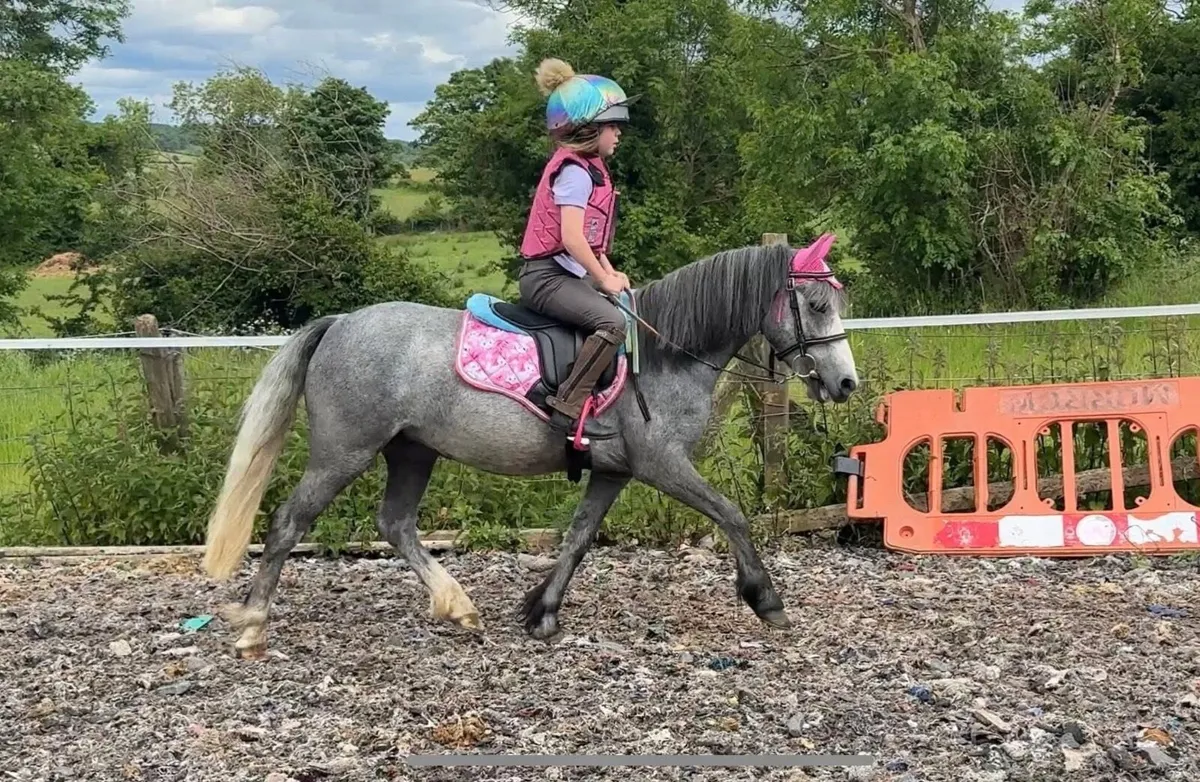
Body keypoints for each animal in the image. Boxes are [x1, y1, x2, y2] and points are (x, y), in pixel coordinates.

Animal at [200, 236, 859, 657]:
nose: (846, 384)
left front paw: (541, 610)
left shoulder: (615, 471)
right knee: (289, 522)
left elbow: (579, 537)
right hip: (344, 451)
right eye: (815, 304)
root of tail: (339, 322)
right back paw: (253, 625)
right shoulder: (662, 464)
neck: (666, 352)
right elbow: (732, 514)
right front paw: (765, 598)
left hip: (412, 449)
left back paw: (457, 604)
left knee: (396, 523)